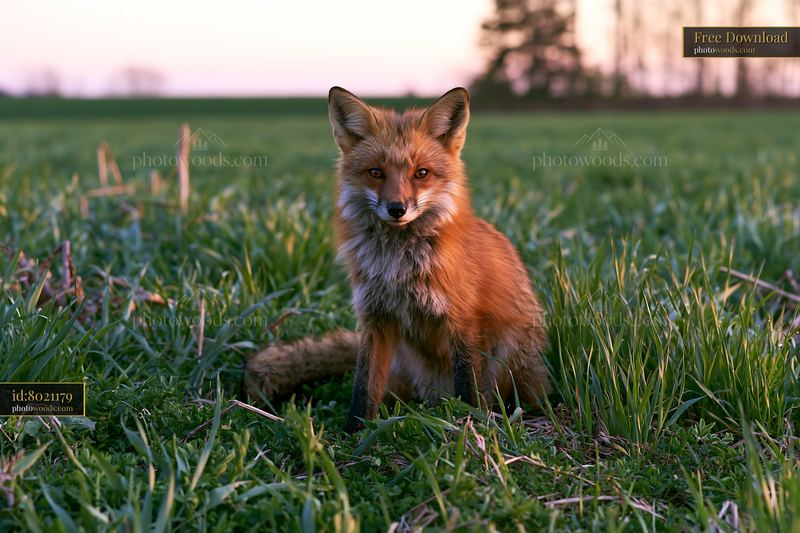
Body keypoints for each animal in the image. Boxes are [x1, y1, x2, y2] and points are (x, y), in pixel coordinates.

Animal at [245, 86, 550, 432]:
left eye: (421, 173)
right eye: (376, 172)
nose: (397, 209)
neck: (397, 266)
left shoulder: (461, 320)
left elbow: (468, 388)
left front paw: (469, 425)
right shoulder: (375, 318)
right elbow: (363, 387)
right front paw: (355, 434)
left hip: (514, 359)